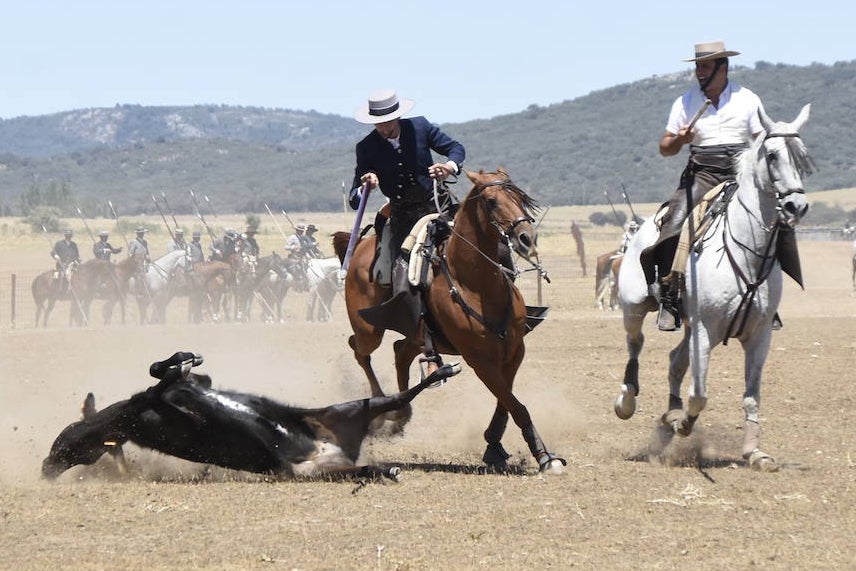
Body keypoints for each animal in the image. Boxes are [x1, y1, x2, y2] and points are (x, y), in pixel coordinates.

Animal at [43, 350, 462, 480]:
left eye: (66, 441)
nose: (46, 468)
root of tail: (334, 449)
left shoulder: (193, 388)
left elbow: (162, 371)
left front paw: (183, 359)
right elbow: (160, 379)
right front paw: (178, 364)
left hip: (345, 411)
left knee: (402, 396)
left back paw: (439, 371)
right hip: (312, 470)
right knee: (365, 468)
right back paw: (386, 469)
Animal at [334, 170, 568, 474]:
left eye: (519, 196)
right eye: (491, 201)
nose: (526, 238)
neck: (475, 284)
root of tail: (359, 247)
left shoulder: (515, 350)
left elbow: (506, 400)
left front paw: (494, 444)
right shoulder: (479, 359)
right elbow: (515, 404)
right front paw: (545, 456)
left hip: (416, 336)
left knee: (400, 352)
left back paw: (401, 411)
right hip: (369, 330)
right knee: (359, 349)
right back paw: (383, 407)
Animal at [612, 105, 812, 472]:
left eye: (802, 157)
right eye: (772, 155)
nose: (796, 206)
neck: (748, 253)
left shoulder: (759, 335)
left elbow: (751, 397)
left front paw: (755, 453)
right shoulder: (705, 330)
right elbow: (699, 395)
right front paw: (683, 424)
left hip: (691, 327)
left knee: (675, 360)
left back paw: (668, 418)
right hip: (634, 307)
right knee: (635, 344)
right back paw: (627, 400)